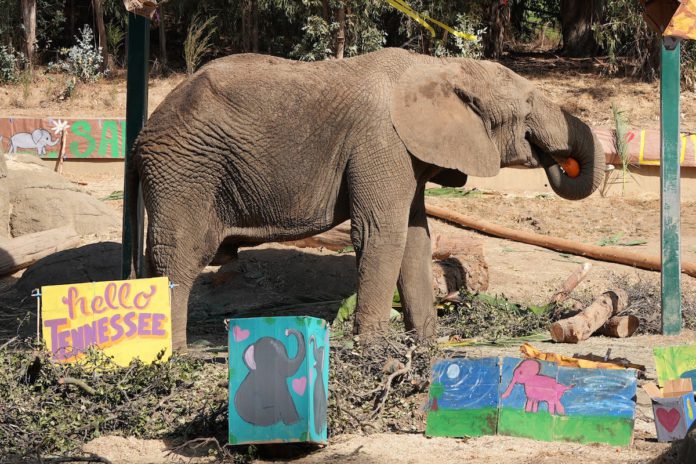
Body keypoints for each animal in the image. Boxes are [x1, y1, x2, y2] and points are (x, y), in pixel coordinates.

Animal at [128, 49, 608, 350]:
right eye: (527, 107)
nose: (556, 160)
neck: (438, 68)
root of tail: (139, 138)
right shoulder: (382, 142)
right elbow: (383, 233)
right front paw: (376, 351)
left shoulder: (408, 153)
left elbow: (416, 238)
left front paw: (427, 346)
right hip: (185, 170)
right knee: (180, 256)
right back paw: (174, 360)